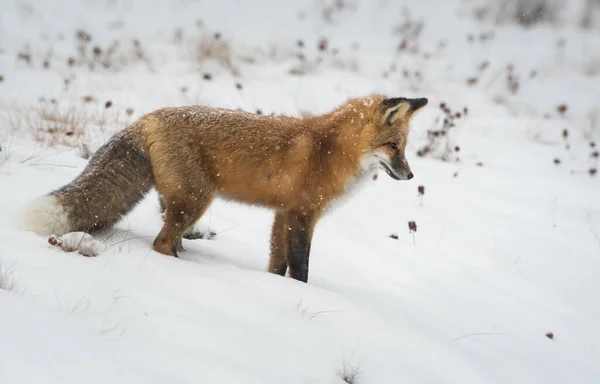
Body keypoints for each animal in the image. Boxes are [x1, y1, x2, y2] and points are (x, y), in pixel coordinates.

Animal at [19, 96, 426, 282]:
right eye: (394, 146)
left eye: (404, 147)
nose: (410, 176)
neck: (331, 151)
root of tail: (148, 117)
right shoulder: (302, 215)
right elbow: (301, 268)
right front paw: (300, 293)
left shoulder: (282, 213)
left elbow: (277, 264)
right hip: (196, 200)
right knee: (161, 243)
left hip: (183, 202)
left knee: (169, 237)